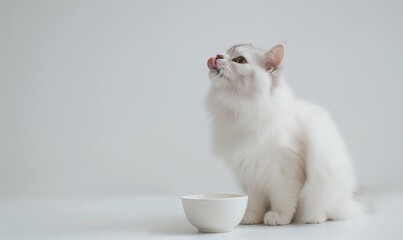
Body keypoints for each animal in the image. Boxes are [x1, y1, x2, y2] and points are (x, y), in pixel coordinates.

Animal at [205, 43, 362, 225]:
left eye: (239, 60)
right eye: (226, 52)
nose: (217, 56)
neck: (239, 109)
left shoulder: (284, 171)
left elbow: (284, 200)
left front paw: (278, 217)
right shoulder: (252, 172)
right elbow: (254, 202)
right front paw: (251, 216)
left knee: (326, 210)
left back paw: (314, 218)